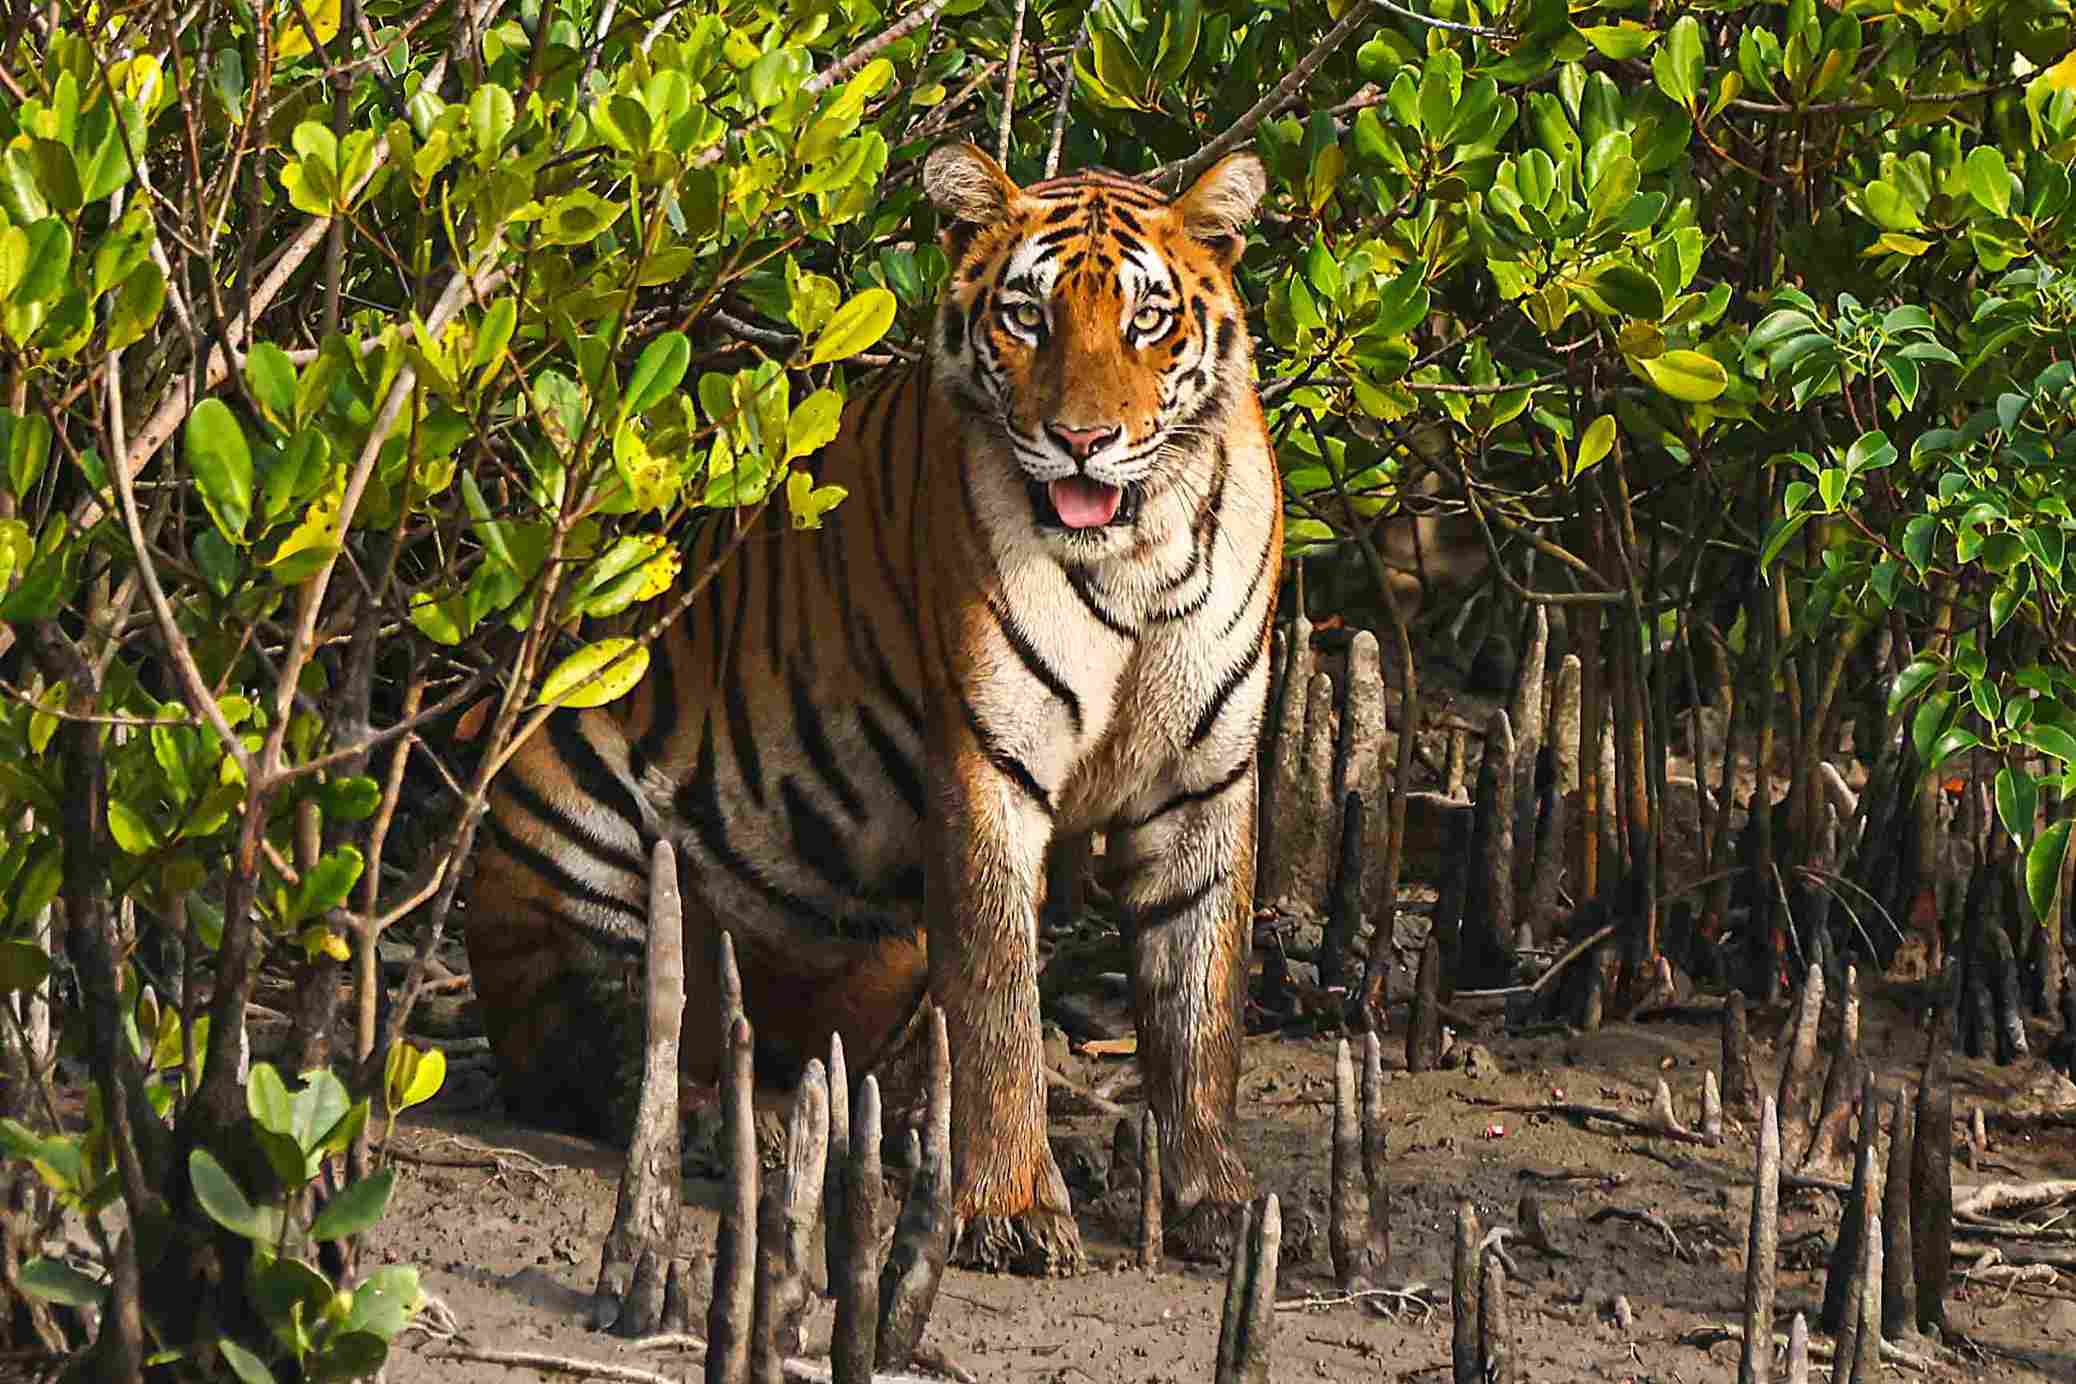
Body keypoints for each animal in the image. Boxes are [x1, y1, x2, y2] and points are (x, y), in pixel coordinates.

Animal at [462, 142, 1281, 1275]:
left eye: (1148, 320)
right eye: (1027, 317)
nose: (1082, 440)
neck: (1137, 551)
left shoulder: (1205, 779)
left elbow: (1200, 1008)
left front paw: (1220, 1200)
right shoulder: (987, 765)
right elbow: (998, 1003)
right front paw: (1012, 1208)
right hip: (568, 787)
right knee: (604, 1043)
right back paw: (740, 1124)